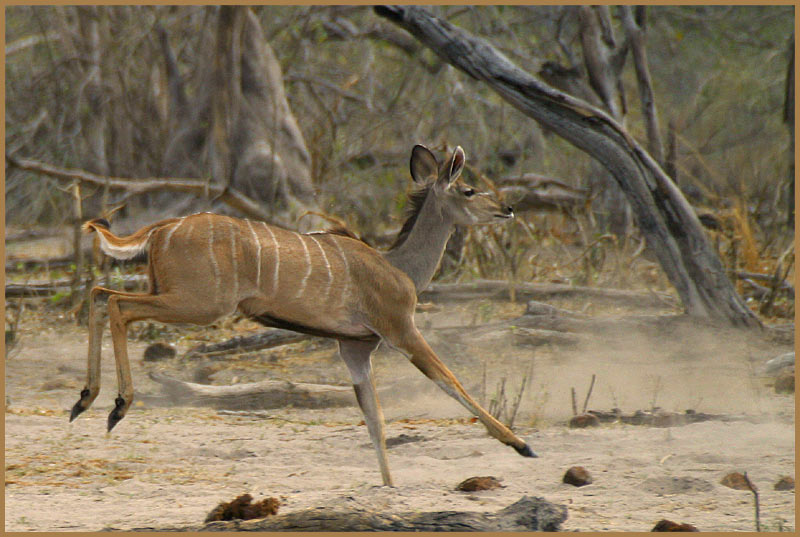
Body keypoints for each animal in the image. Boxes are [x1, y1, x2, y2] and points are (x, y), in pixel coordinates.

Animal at [72, 144, 536, 484]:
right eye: (468, 190)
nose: (508, 209)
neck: (400, 267)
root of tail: (162, 228)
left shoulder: (355, 349)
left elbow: (375, 421)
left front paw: (389, 487)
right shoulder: (400, 330)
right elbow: (451, 381)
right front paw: (522, 445)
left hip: (174, 295)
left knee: (98, 294)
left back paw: (85, 399)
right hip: (198, 303)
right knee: (117, 304)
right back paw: (116, 406)